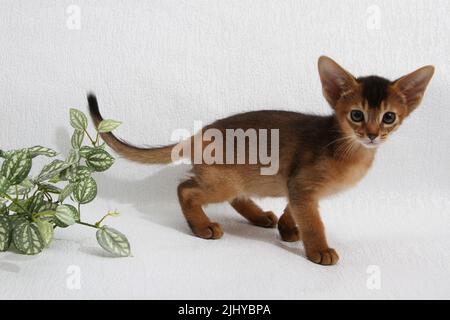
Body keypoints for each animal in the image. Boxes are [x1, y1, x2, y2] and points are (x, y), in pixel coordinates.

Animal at [86, 57, 434, 264]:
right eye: (357, 115)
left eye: (389, 117)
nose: (372, 135)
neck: (348, 148)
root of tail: (199, 133)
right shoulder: (302, 186)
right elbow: (313, 222)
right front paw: (319, 249)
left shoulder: (296, 187)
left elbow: (295, 209)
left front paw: (286, 227)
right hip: (221, 182)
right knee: (186, 189)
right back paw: (202, 226)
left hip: (236, 176)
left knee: (234, 195)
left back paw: (260, 217)